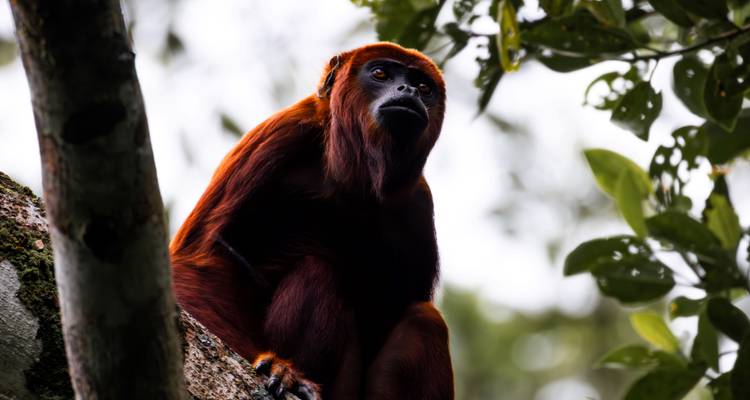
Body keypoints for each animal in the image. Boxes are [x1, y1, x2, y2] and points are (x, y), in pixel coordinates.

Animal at [170, 42, 453, 400]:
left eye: (424, 87)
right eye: (380, 74)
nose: (409, 91)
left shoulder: (417, 204)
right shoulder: (281, 134)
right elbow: (197, 261)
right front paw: (279, 369)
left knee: (424, 320)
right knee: (316, 269)